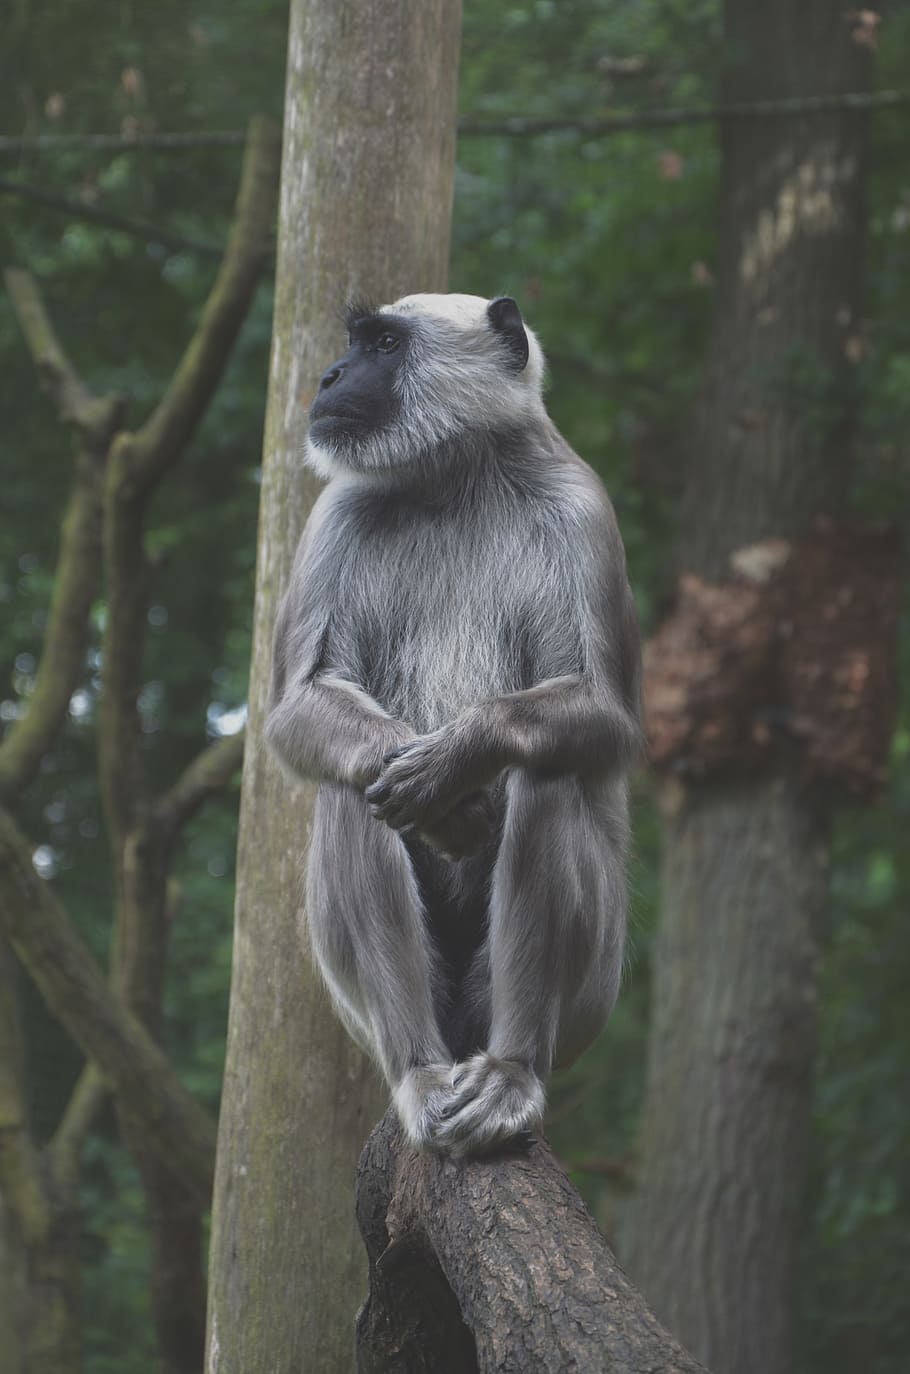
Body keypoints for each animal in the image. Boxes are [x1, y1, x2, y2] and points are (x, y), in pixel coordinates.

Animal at [265, 293, 641, 1156]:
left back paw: (510, 1074)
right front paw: (443, 794)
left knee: (547, 769)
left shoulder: (581, 506)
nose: (331, 376)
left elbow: (606, 719)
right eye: (357, 342)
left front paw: (455, 763)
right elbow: (299, 706)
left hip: (595, 987)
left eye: (385, 344)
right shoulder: (336, 513)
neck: (453, 481)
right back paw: (421, 1072)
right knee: (353, 786)